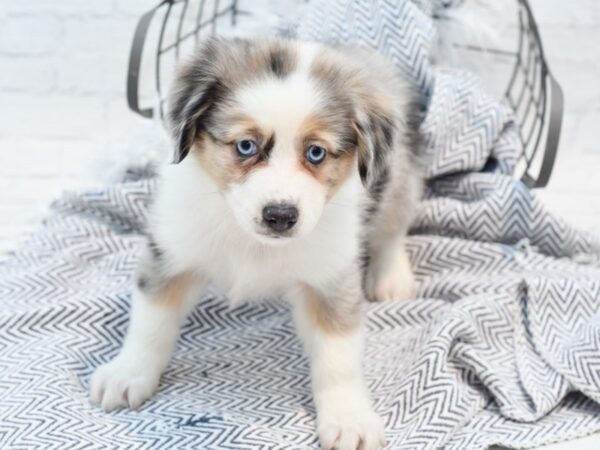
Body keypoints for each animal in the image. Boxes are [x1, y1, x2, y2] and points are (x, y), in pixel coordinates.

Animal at [91, 36, 424, 450]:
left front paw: (349, 419)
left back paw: (391, 276)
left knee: (395, 220)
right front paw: (127, 373)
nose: (280, 215)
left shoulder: (330, 277)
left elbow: (339, 356)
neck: (252, 241)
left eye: (316, 152)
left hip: (394, 178)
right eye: (246, 146)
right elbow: (151, 322)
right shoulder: (172, 251)